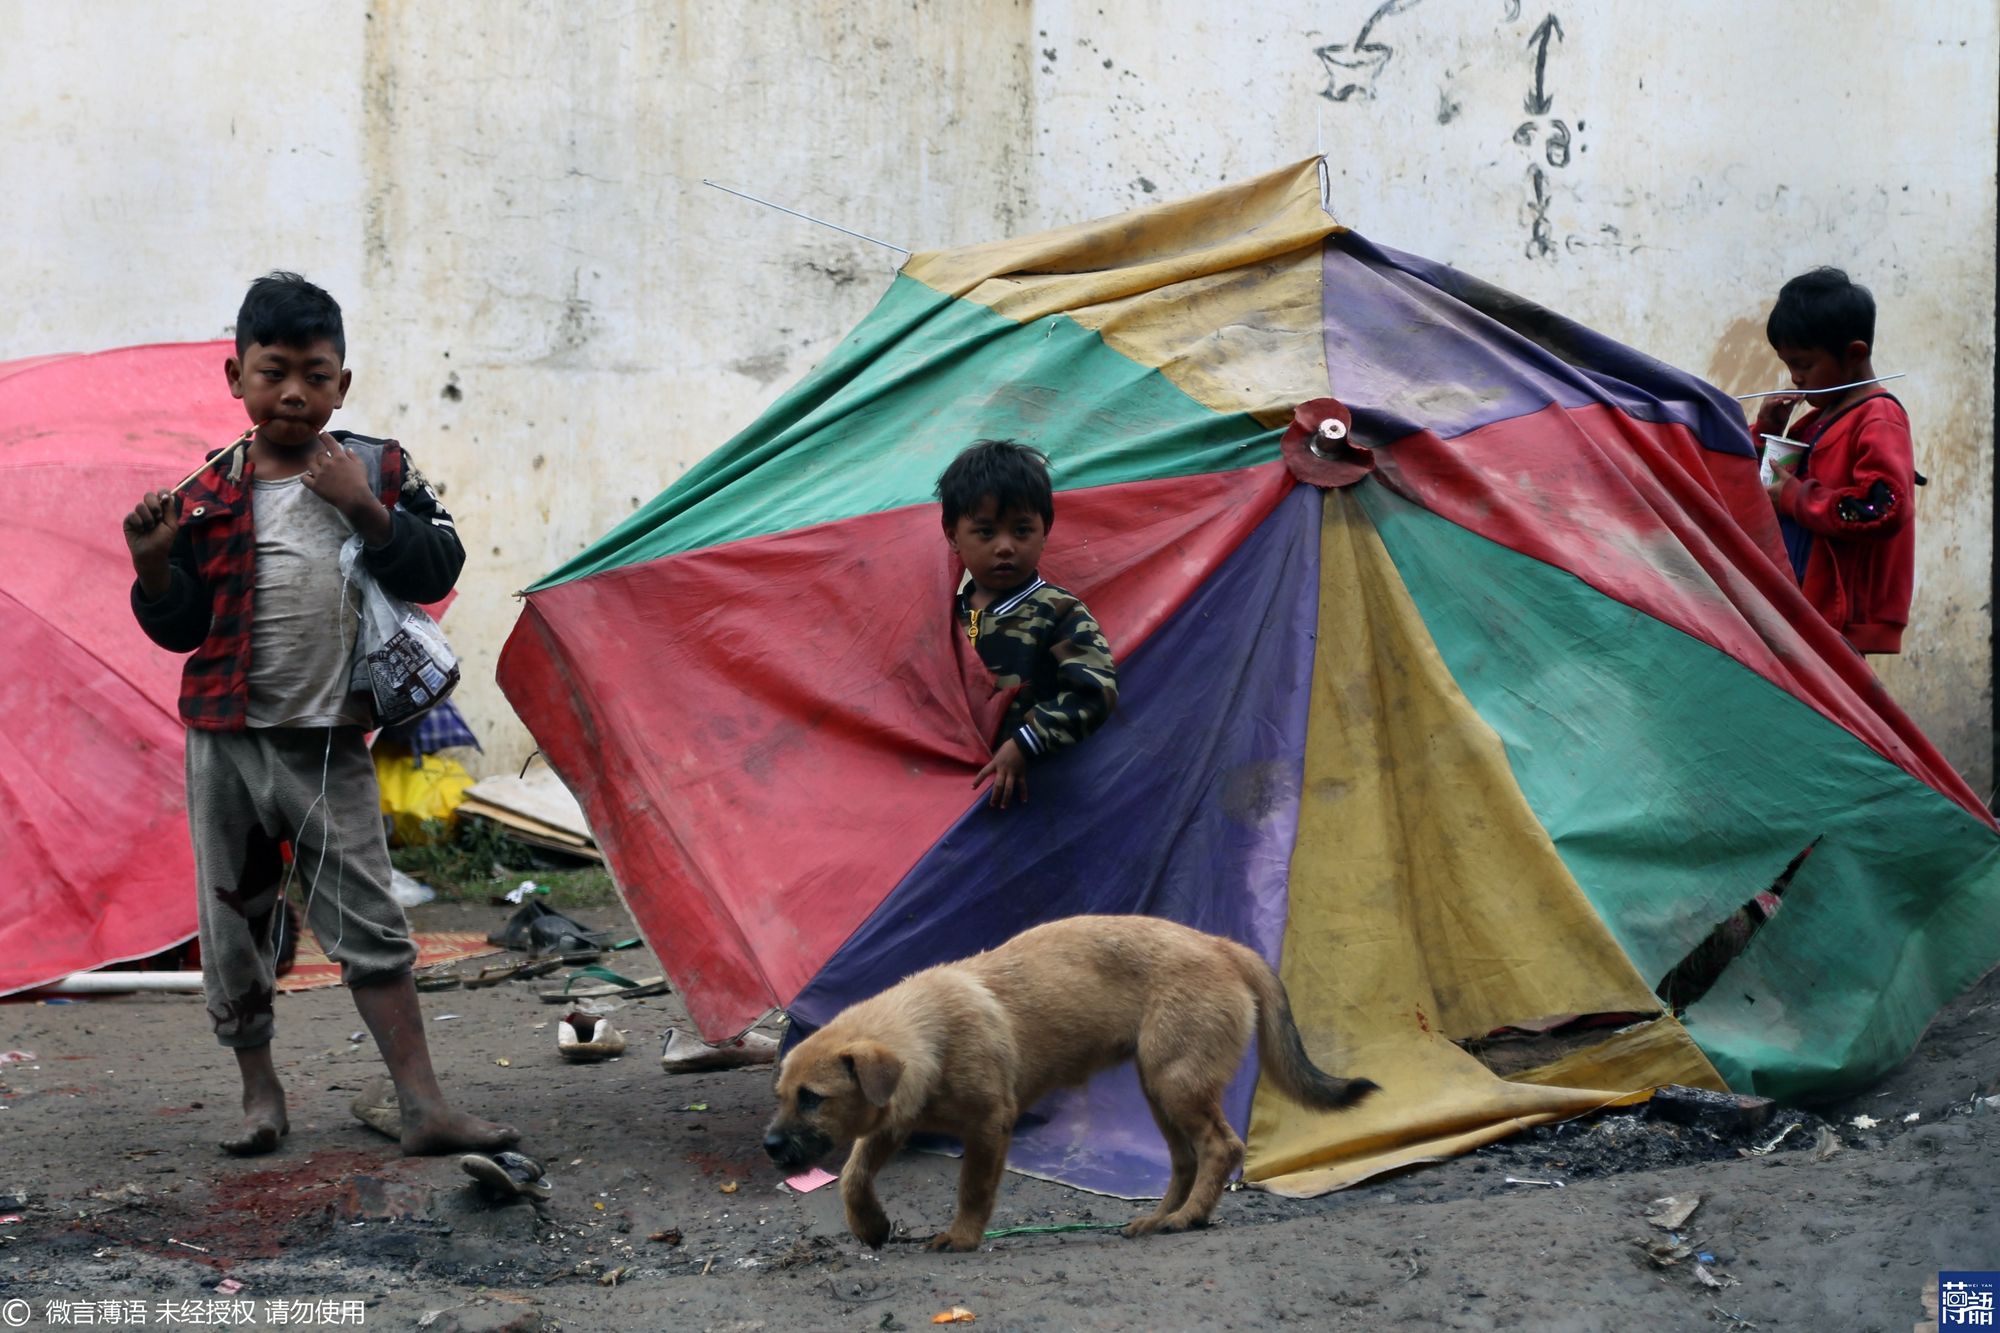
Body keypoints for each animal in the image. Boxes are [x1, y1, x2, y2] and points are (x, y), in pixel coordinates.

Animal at [764, 912, 1376, 1248]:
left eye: (812, 1099)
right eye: (782, 1097)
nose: (769, 1146)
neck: (929, 1029)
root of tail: (1222, 945)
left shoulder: (990, 1124)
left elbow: (972, 1189)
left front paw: (961, 1237)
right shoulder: (893, 1119)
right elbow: (852, 1174)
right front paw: (870, 1225)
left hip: (1177, 1082)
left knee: (1223, 1147)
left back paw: (1189, 1218)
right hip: (1159, 1088)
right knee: (1186, 1159)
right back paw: (1159, 1218)